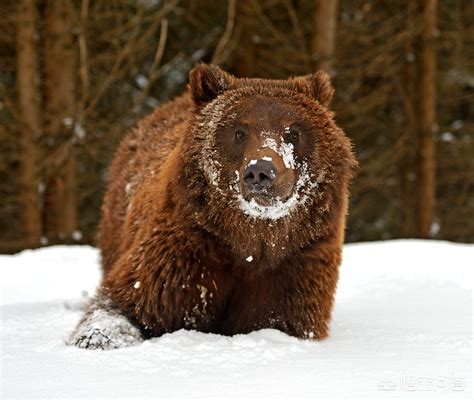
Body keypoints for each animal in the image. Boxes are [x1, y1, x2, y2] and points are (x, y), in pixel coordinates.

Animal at [68, 63, 358, 350]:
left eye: (292, 132)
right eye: (240, 131)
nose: (260, 171)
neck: (249, 239)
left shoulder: (296, 261)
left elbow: (281, 318)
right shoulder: (185, 252)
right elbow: (125, 304)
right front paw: (97, 339)